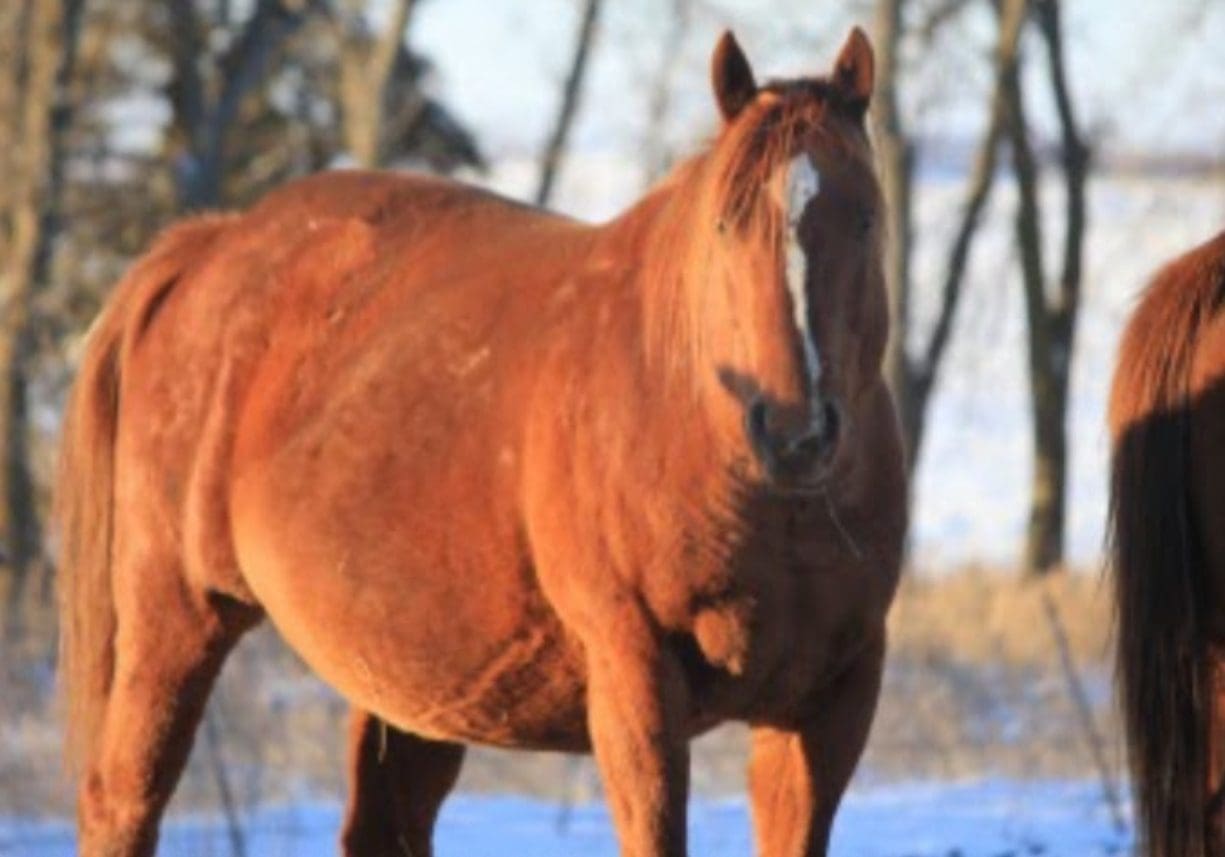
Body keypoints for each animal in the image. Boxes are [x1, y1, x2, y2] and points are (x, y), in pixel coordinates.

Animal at [55, 26, 905, 857]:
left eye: (866, 218)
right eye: (727, 223)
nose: (794, 430)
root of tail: (210, 245)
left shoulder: (831, 704)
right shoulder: (635, 682)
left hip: (409, 676)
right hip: (174, 617)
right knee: (121, 803)